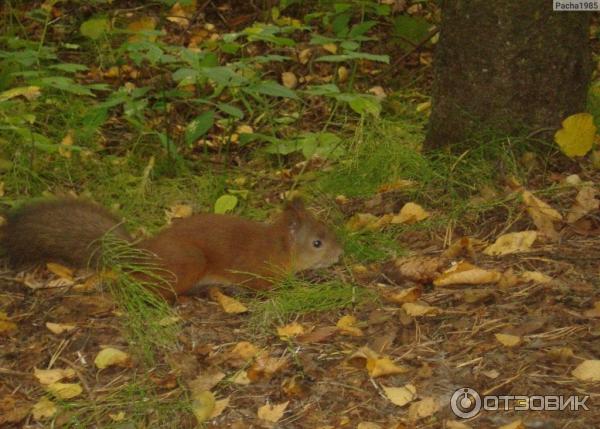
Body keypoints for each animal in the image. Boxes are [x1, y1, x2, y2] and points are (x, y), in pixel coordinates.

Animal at [2, 197, 342, 298]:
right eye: (317, 243)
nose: (341, 254)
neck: (279, 247)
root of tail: (142, 255)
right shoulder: (258, 272)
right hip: (188, 261)